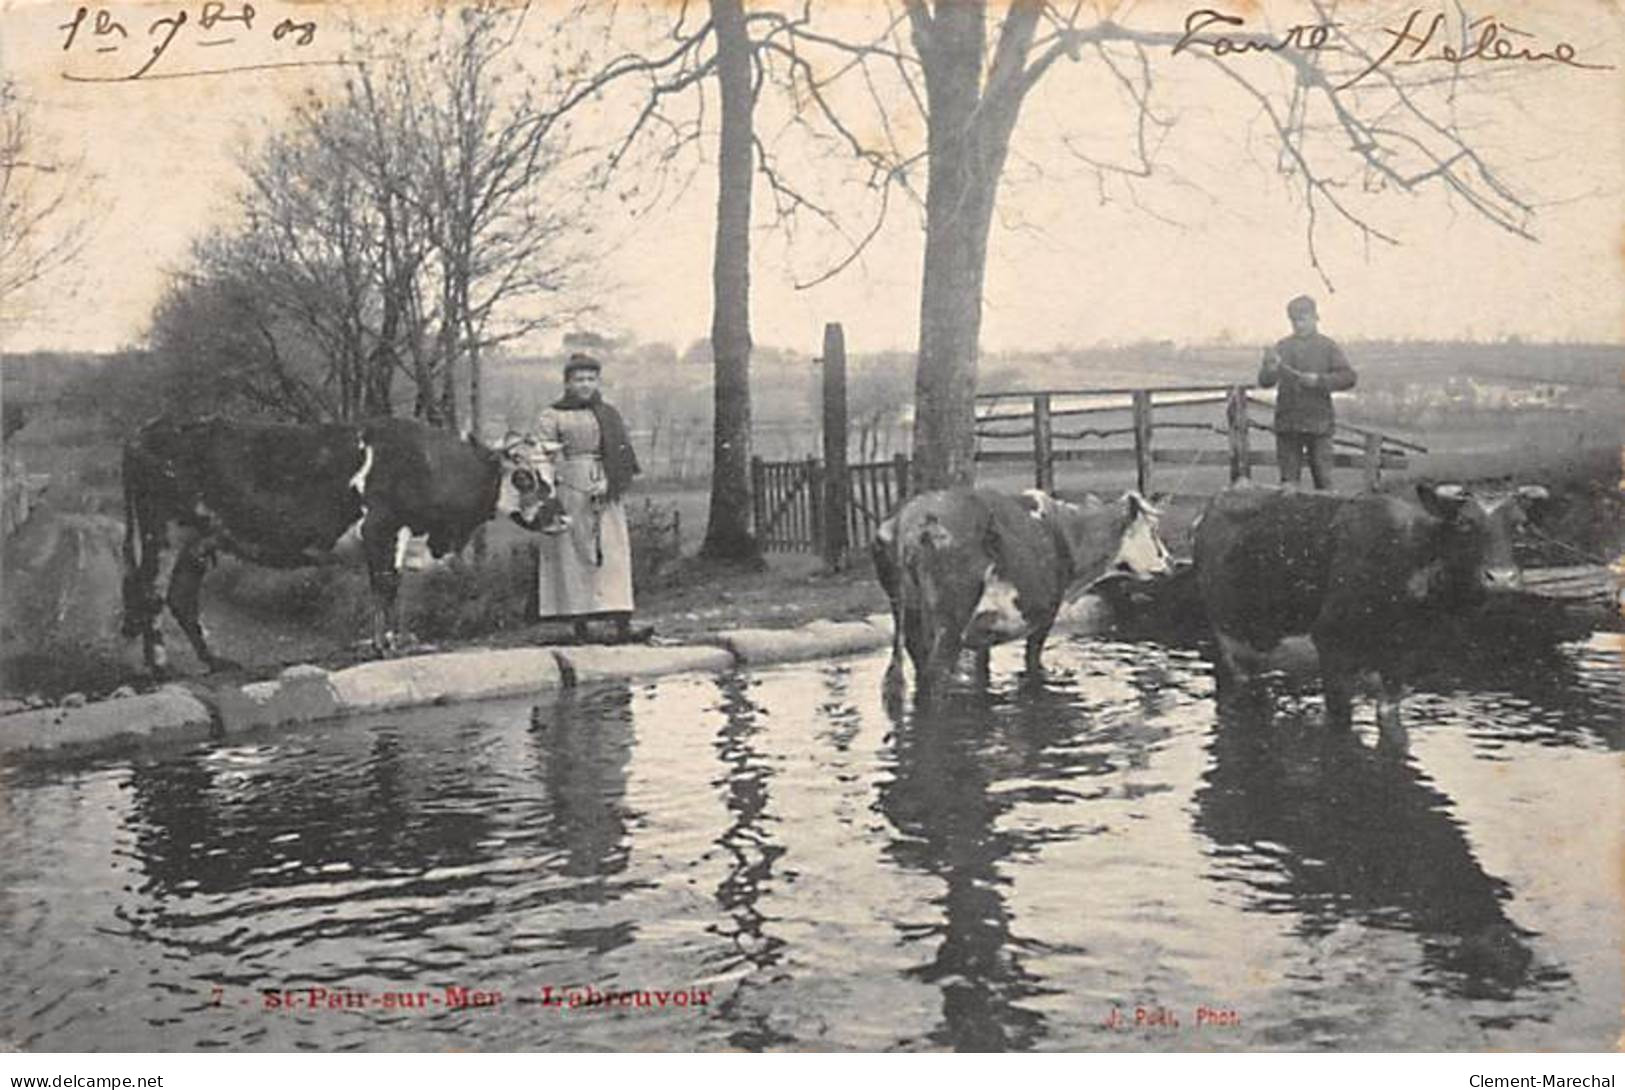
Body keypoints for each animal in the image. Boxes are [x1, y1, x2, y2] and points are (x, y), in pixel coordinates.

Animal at [121, 415, 565, 672]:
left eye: (554, 477)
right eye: (524, 477)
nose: (563, 518)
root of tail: (147, 431)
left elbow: (389, 590)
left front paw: (394, 642)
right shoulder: (382, 529)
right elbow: (386, 587)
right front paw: (386, 647)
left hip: (197, 539)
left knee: (180, 597)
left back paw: (214, 662)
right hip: (161, 531)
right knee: (151, 593)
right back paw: (159, 668)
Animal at [877, 487, 1170, 698]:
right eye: (1154, 531)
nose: (1171, 562)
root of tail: (908, 517)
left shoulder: (984, 630)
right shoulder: (1045, 615)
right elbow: (1032, 661)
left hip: (909, 617)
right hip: (949, 622)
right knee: (936, 674)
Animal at [1196, 480, 1547, 737]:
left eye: (1519, 525)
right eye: (1464, 523)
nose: (1501, 578)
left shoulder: (1400, 662)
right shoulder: (1333, 648)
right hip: (1224, 638)